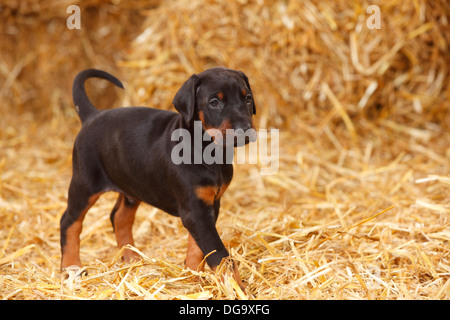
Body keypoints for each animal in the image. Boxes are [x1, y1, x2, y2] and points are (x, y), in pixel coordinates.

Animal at [60, 67, 256, 290]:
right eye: (214, 102)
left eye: (247, 98)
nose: (245, 130)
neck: (208, 151)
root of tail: (92, 115)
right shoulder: (195, 211)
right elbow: (219, 255)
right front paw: (237, 288)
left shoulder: (210, 206)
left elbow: (197, 247)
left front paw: (192, 277)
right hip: (84, 184)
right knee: (69, 222)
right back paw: (72, 268)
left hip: (131, 186)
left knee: (118, 217)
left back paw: (132, 259)